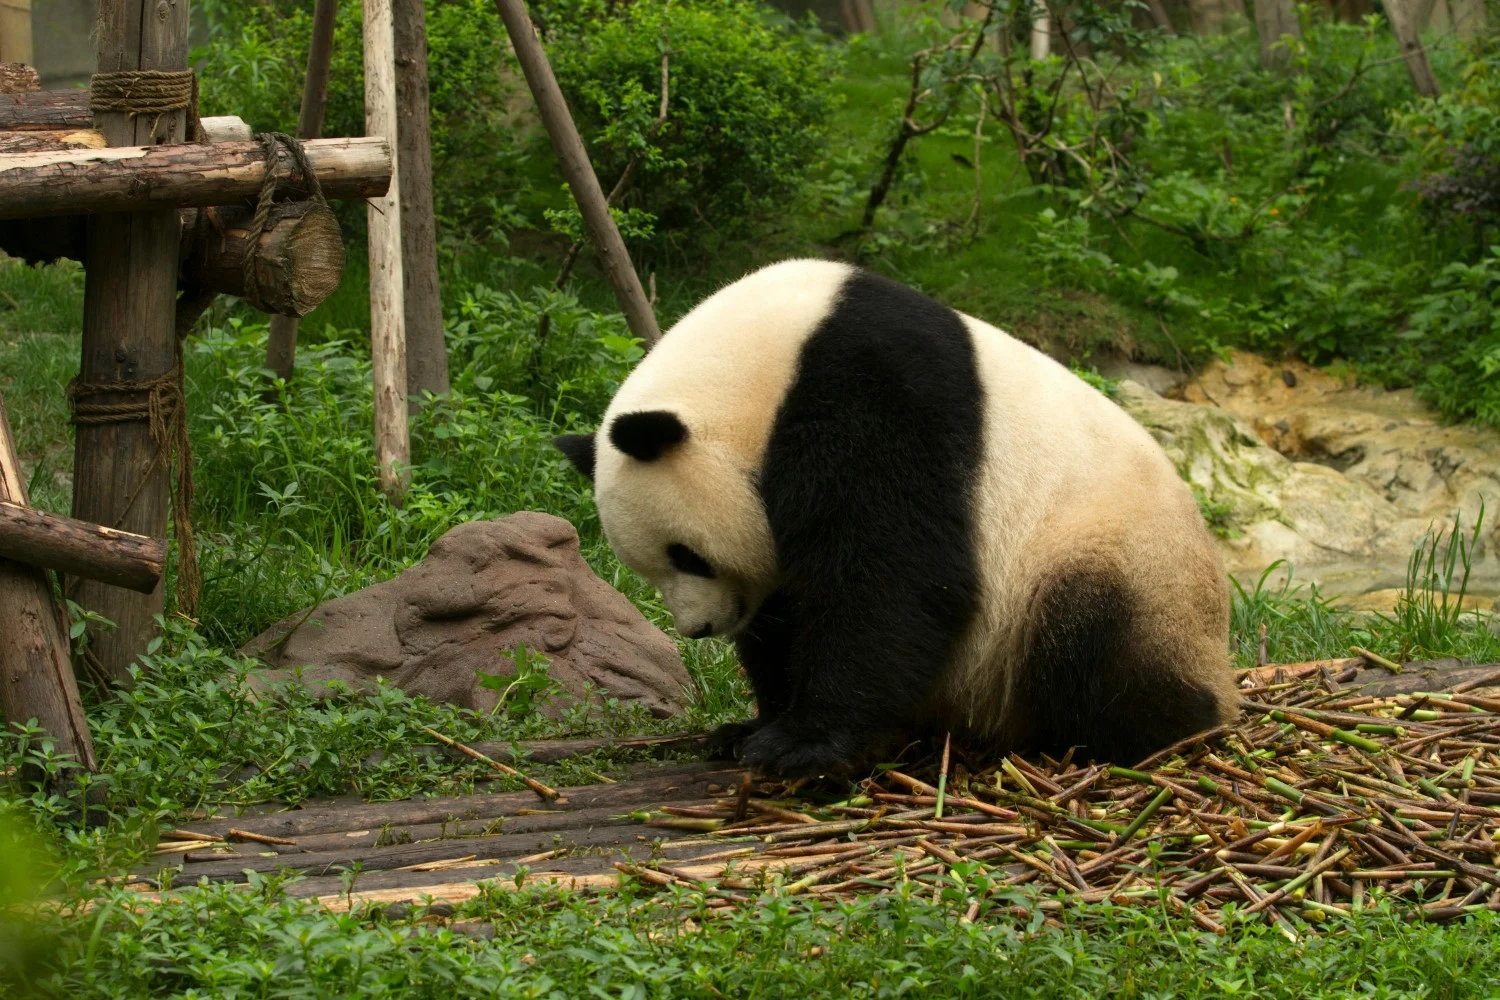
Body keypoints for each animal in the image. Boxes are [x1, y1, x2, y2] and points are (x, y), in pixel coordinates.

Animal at [554, 259, 1238, 777]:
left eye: (686, 555)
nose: (699, 629)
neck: (762, 364)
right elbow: (788, 609)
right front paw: (751, 728)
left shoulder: (874, 392)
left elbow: (893, 577)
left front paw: (800, 746)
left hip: (1123, 560)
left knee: (1091, 634)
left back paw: (1132, 731)